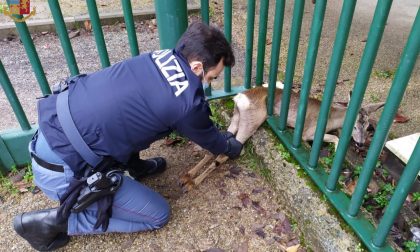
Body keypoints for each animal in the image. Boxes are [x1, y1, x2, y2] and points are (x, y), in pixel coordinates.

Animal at [177, 87, 384, 193]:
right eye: (355, 126)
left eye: (368, 126)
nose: (360, 143)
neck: (331, 118)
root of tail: (239, 97)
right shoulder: (308, 132)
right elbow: (332, 138)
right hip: (252, 120)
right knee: (225, 153)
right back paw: (193, 183)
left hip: (237, 118)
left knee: (217, 146)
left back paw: (187, 176)